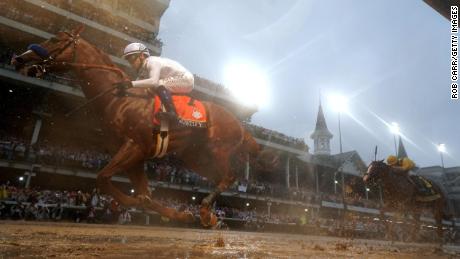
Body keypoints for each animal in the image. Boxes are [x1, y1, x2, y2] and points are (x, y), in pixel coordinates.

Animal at [12, 26, 274, 228]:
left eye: (56, 40)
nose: (19, 59)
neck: (119, 99)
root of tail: (240, 124)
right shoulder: (133, 156)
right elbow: (144, 194)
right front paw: (179, 214)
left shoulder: (134, 147)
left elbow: (104, 179)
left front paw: (132, 204)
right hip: (195, 157)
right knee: (221, 178)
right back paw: (208, 215)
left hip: (218, 149)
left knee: (229, 176)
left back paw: (205, 209)